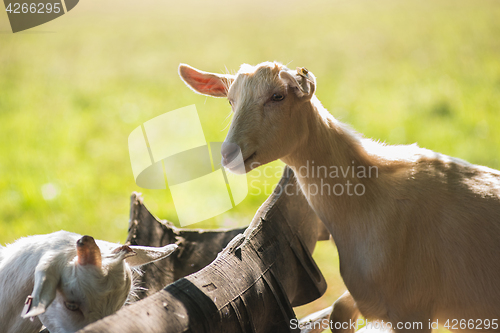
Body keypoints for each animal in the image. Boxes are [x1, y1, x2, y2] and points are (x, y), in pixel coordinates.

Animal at [179, 62, 500, 332]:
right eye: (231, 101)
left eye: (278, 96)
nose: (228, 153)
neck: (369, 197)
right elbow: (338, 312)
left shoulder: (412, 308)